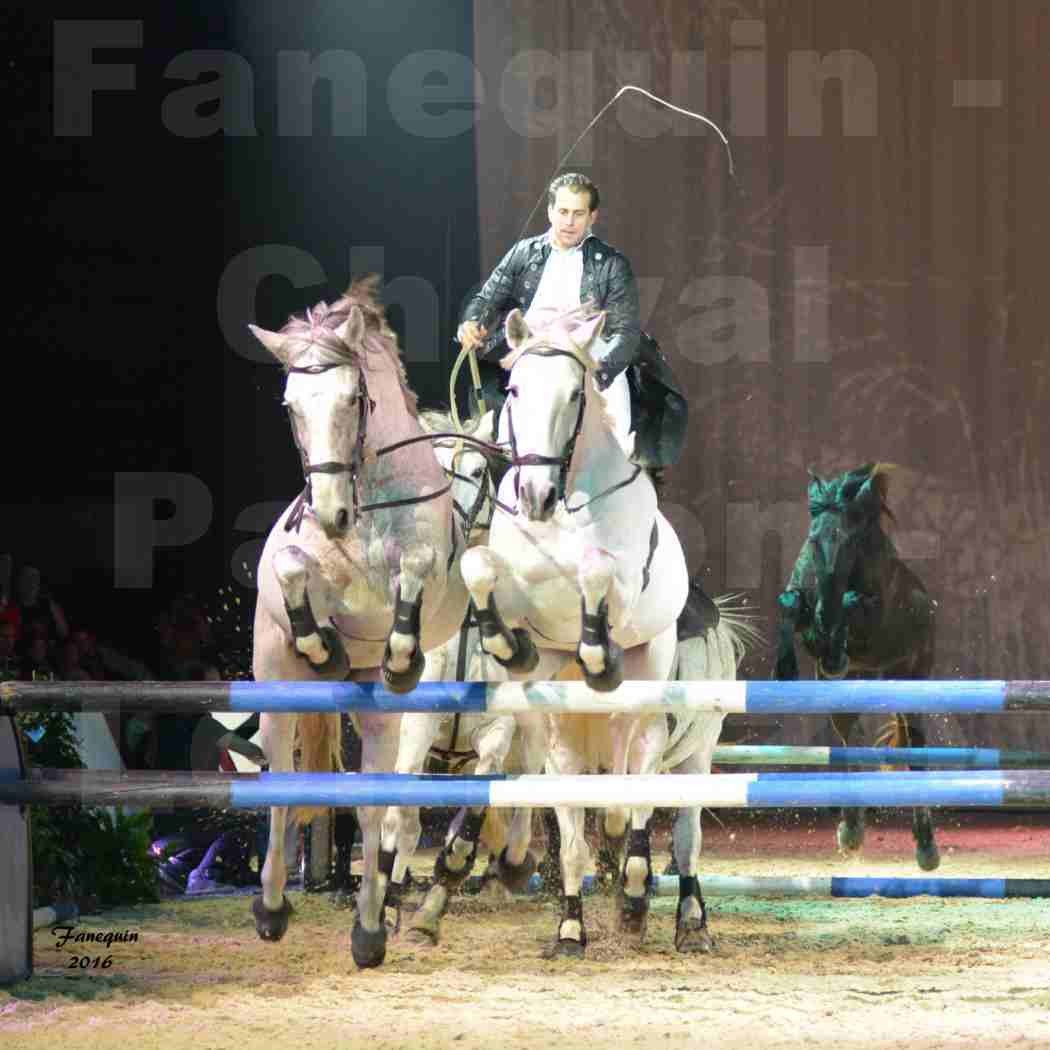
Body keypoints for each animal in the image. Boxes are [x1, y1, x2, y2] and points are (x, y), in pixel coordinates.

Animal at [246, 279, 468, 965]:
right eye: (291, 406)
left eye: (353, 398)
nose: (332, 513)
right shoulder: (302, 566)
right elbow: (293, 566)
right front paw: (322, 642)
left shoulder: (425, 572)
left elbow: (412, 575)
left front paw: (401, 654)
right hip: (275, 685)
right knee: (282, 782)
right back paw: (272, 907)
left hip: (382, 716)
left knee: (376, 807)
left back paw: (370, 927)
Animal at [455, 306, 718, 957]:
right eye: (513, 390)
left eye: (576, 394)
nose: (535, 494)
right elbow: (479, 569)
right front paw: (505, 643)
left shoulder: (619, 592)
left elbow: (598, 571)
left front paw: (598, 652)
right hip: (563, 721)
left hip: (666, 702)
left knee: (658, 800)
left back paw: (659, 907)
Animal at [776, 466, 940, 869]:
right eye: (813, 541)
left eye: (849, 543)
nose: (824, 616)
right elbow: (790, 604)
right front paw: (786, 667)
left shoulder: (872, 618)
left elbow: (854, 606)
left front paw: (835, 642)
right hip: (849, 693)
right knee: (850, 737)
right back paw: (851, 830)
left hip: (911, 677)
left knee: (915, 747)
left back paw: (926, 846)